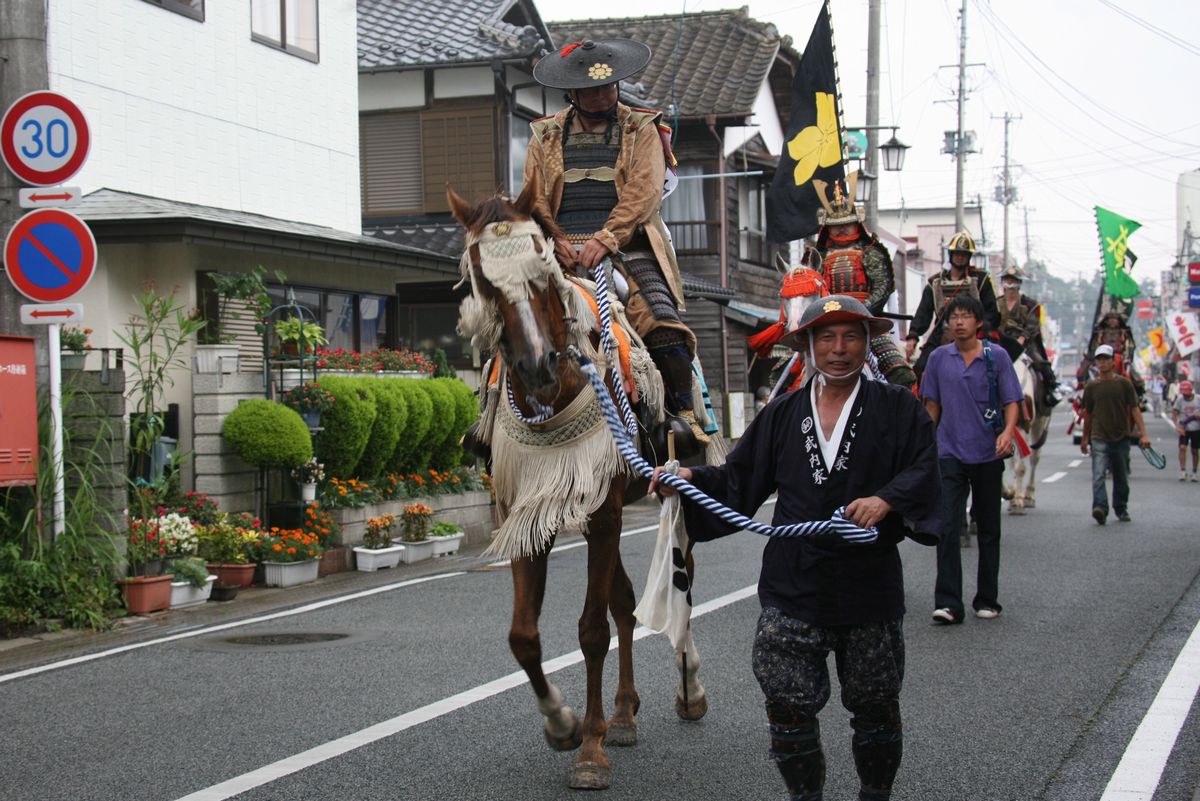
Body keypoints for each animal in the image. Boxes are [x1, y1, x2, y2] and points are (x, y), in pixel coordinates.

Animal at [451, 184, 710, 791]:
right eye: (483, 281)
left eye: (542, 273)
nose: (537, 365)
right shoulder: (526, 508)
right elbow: (525, 635)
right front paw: (564, 724)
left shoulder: (606, 511)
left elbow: (592, 629)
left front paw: (590, 750)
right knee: (627, 603)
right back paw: (624, 713)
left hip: (666, 483)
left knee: (677, 583)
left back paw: (687, 687)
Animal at [1003, 354, 1051, 513]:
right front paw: (1009, 493)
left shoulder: (1023, 427)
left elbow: (1020, 467)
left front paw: (1018, 499)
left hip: (1039, 423)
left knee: (1034, 458)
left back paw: (1028, 496)